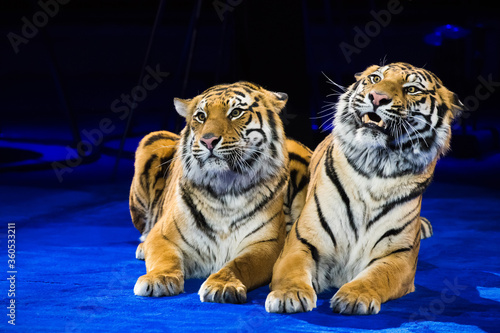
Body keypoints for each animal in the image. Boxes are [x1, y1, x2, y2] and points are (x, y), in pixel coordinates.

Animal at [264, 62, 462, 314]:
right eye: (376, 78)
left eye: (412, 89)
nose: (377, 97)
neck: (376, 166)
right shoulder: (301, 242)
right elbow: (292, 271)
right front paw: (289, 295)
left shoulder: (399, 256)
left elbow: (377, 277)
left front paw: (355, 296)